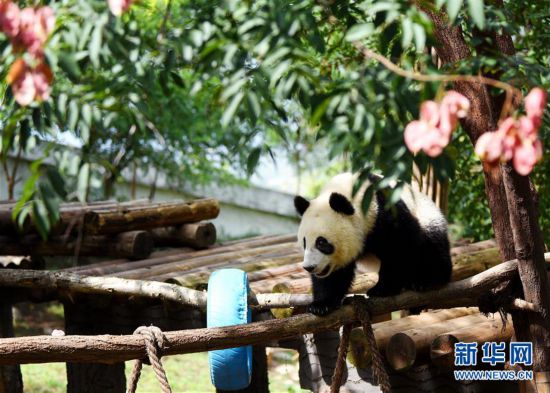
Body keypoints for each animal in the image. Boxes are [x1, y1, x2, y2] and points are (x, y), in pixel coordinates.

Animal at [296, 172, 454, 316]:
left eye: (321, 242)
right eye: (304, 242)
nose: (309, 267)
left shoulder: (386, 212)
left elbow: (400, 249)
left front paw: (382, 289)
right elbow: (333, 276)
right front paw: (321, 305)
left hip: (426, 215)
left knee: (432, 245)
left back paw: (426, 280)